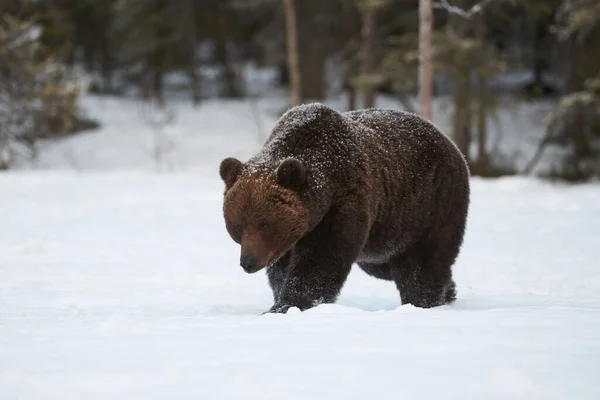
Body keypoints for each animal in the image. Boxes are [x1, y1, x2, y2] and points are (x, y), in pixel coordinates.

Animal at [219, 102, 468, 312]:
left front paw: (289, 304)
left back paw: (426, 300)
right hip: (387, 233)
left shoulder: (343, 204)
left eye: (264, 224)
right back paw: (449, 290)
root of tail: (452, 144)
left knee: (423, 262)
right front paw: (280, 300)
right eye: (238, 226)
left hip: (431, 203)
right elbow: (282, 267)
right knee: (387, 264)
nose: (248, 262)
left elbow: (320, 261)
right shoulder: (290, 237)